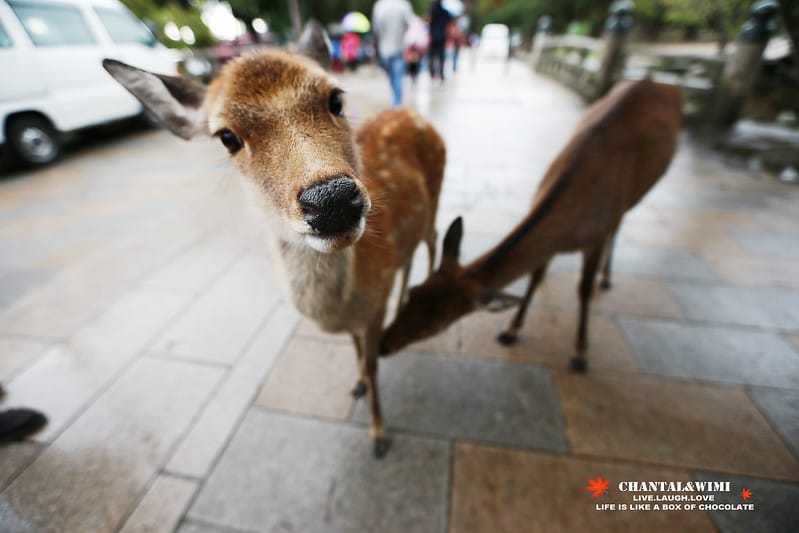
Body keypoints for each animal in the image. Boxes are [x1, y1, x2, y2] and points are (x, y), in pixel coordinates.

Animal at [102, 23, 445, 458]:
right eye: (226, 136)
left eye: (336, 98)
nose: (331, 200)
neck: (347, 303)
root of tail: (416, 113)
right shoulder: (362, 318)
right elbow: (358, 355)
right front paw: (358, 386)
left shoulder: (371, 311)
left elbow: (372, 362)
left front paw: (379, 436)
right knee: (410, 256)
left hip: (437, 197)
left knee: (433, 237)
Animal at [380, 79, 682, 371]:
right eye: (413, 293)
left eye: (436, 325)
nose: (382, 345)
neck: (572, 227)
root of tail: (661, 83)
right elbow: (535, 275)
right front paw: (511, 330)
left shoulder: (595, 238)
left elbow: (583, 290)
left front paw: (580, 353)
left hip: (631, 199)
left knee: (616, 229)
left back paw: (605, 278)